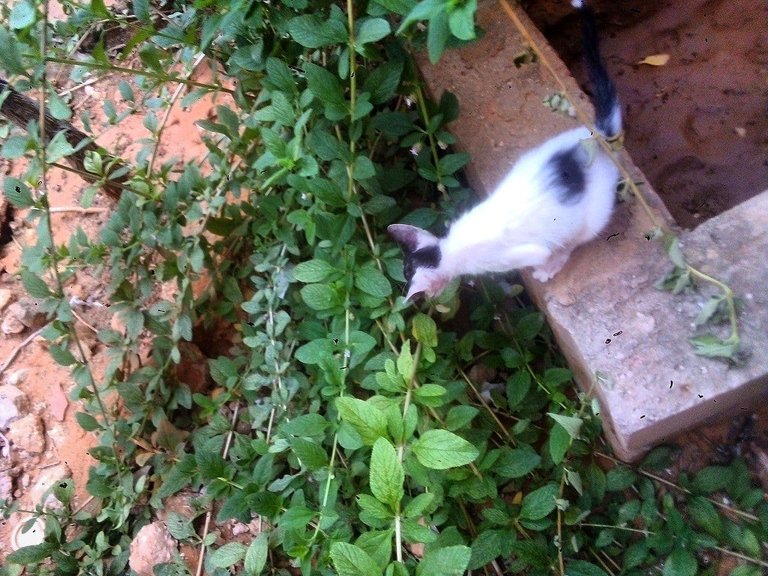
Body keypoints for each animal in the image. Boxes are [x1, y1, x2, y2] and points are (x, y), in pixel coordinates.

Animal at [392, 2, 620, 302]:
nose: (425, 299)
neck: (449, 249)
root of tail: (594, 139)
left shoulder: (518, 253)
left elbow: (542, 253)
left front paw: (545, 266)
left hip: (594, 213)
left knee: (577, 238)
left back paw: (554, 264)